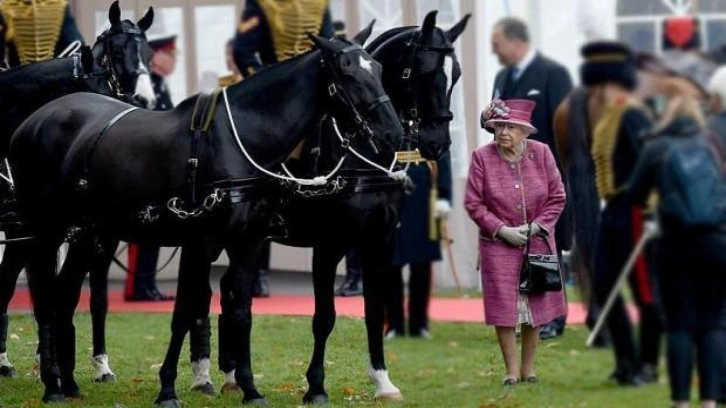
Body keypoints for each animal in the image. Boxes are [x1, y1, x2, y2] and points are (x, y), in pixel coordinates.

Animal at [0, 1, 155, 380]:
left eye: (148, 51)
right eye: (117, 52)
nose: (143, 99)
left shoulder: (98, 235)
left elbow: (95, 298)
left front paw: (100, 363)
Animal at [7, 23, 404, 404]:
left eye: (378, 69)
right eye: (347, 72)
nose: (394, 134)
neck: (239, 140)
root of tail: (33, 120)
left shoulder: (249, 242)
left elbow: (241, 312)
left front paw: (250, 389)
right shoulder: (202, 241)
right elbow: (185, 310)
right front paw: (168, 388)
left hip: (89, 233)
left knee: (64, 295)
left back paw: (69, 383)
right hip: (42, 229)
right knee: (43, 295)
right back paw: (51, 385)